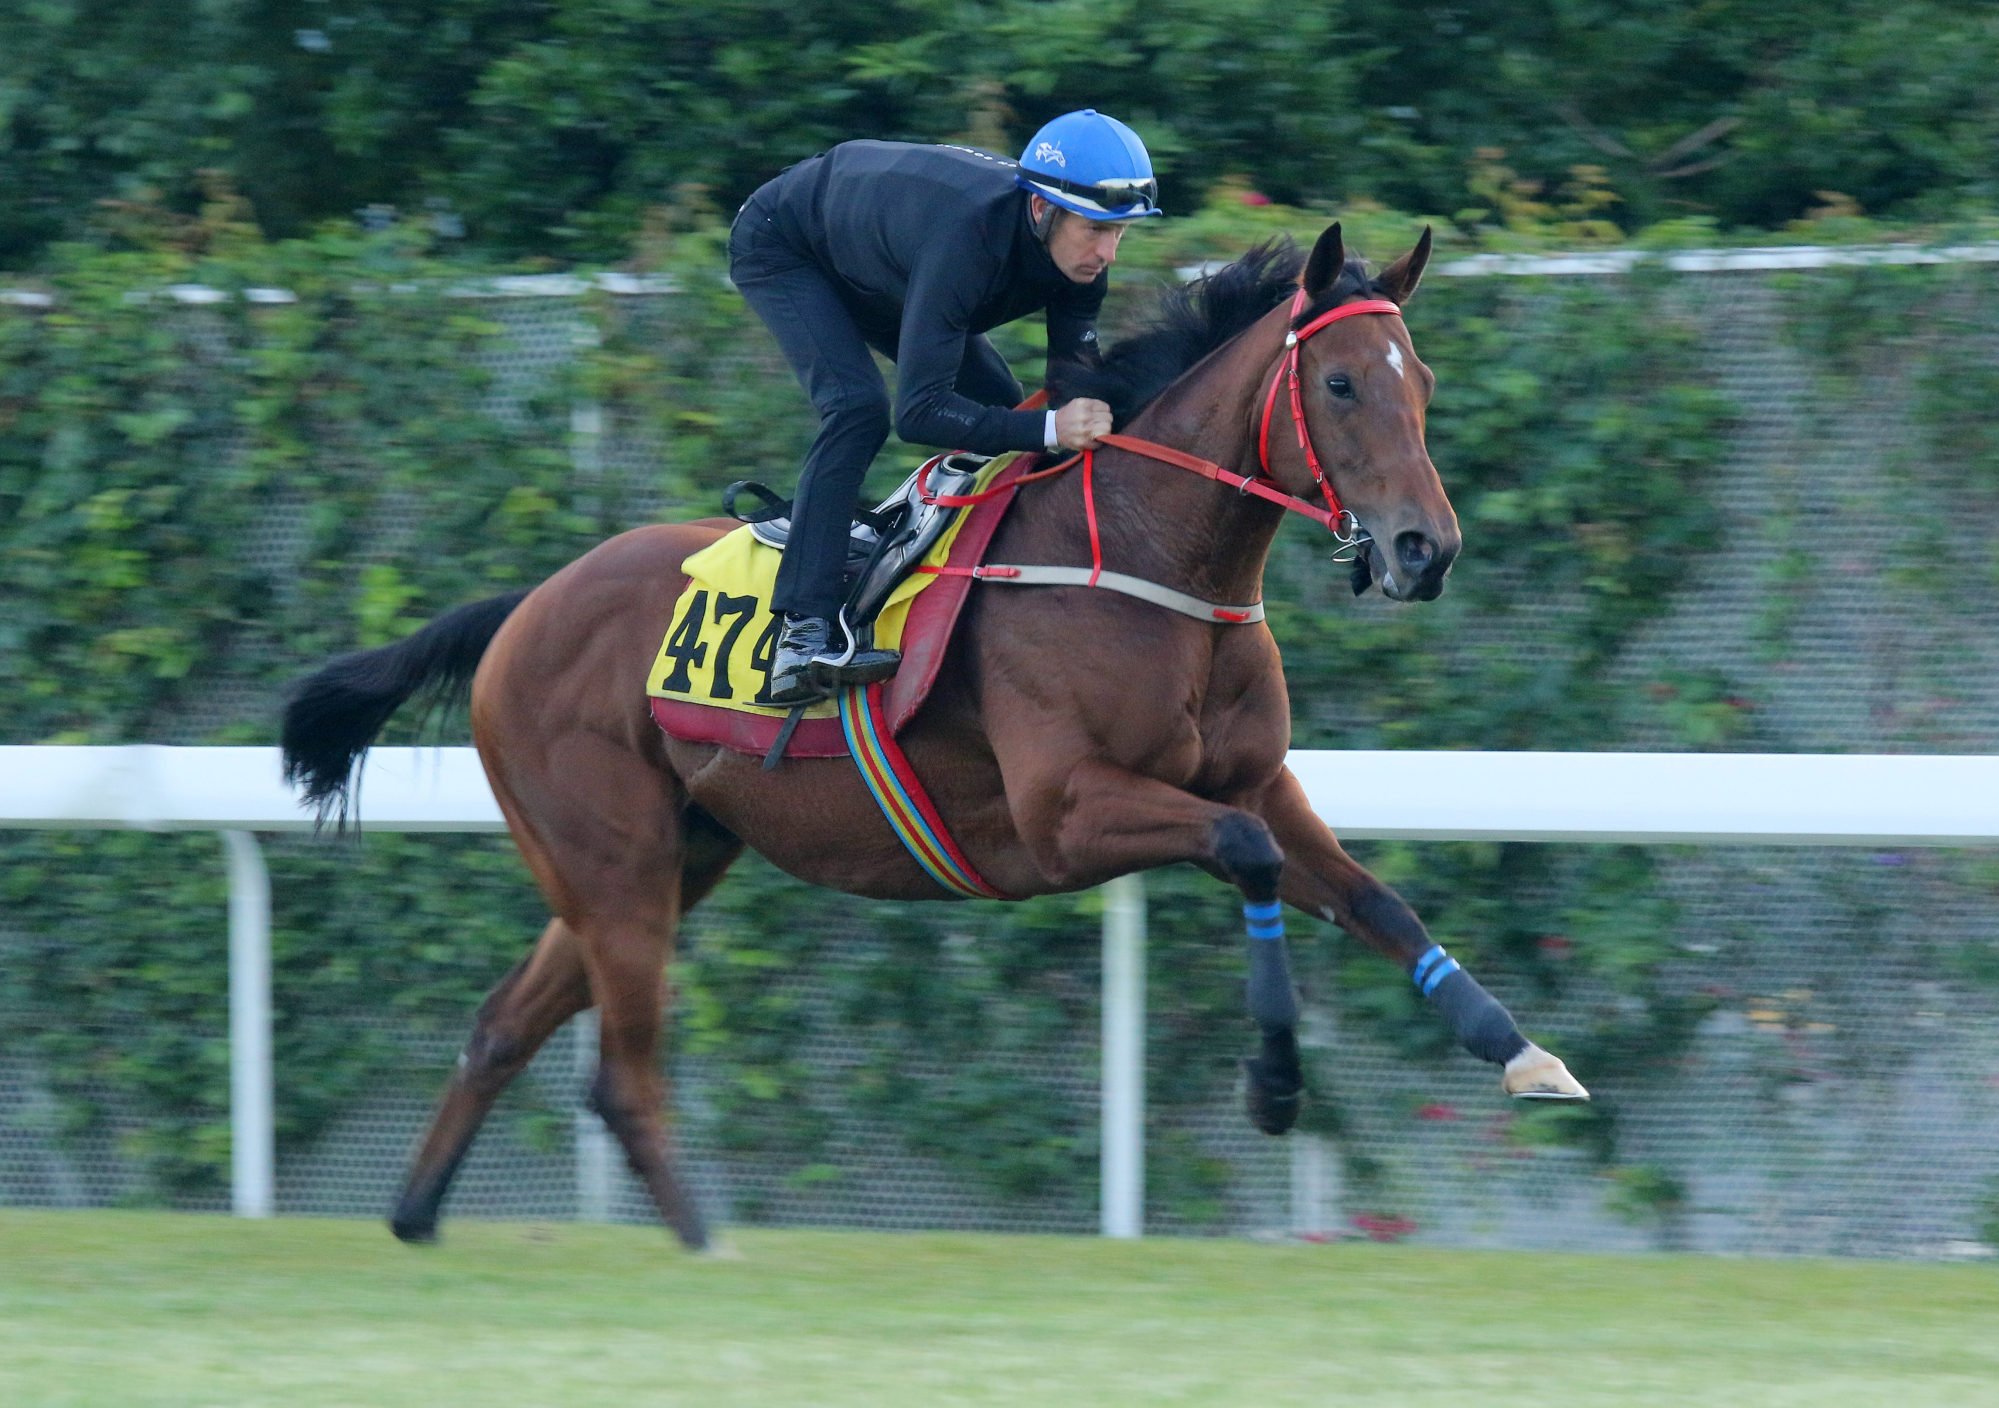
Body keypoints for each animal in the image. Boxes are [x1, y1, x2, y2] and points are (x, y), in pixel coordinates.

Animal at [285, 223, 1591, 1256]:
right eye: (1340, 386)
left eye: (1420, 378)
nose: (1425, 548)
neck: (1149, 560)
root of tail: (522, 606)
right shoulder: (1064, 813)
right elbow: (1245, 852)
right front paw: (1272, 1082)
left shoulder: (1257, 778)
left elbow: (1373, 899)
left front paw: (1521, 1051)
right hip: (613, 862)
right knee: (619, 1070)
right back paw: (704, 1242)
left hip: (663, 857)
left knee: (502, 1025)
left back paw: (415, 1213)